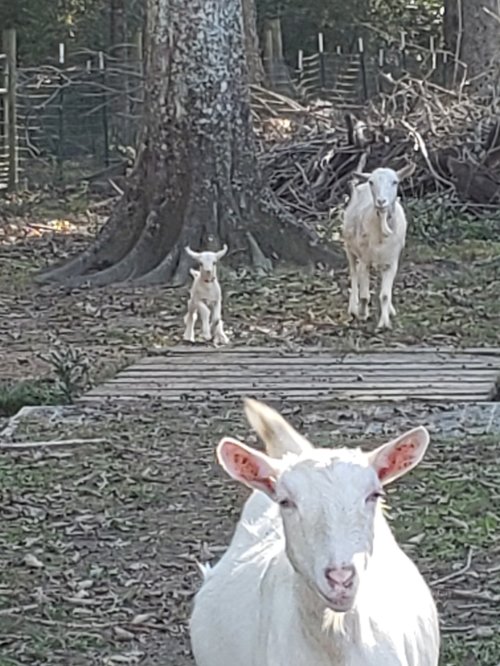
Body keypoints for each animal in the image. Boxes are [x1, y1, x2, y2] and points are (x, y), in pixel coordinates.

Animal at [342, 163, 415, 329]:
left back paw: (391, 309)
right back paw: (353, 308)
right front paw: (362, 313)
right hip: (349, 248)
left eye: (395, 182)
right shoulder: (364, 261)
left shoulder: (392, 263)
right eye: (372, 182)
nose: (381, 201)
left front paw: (384, 322)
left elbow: (385, 295)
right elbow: (364, 295)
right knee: (353, 274)